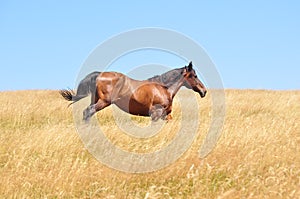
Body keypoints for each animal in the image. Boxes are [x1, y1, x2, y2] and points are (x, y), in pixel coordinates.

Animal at [59, 61, 207, 121]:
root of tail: (99, 75)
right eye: (194, 76)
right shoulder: (156, 114)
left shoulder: (166, 115)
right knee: (88, 112)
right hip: (104, 102)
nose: (204, 91)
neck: (163, 88)